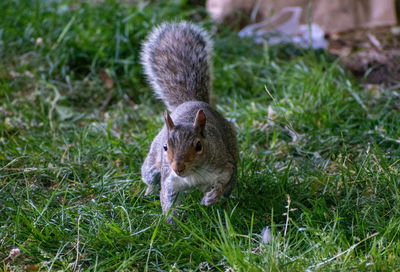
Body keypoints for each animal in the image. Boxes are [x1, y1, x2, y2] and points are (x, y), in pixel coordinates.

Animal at [140, 20, 238, 221]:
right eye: (165, 147)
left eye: (199, 146)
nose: (178, 168)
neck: (193, 174)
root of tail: (192, 102)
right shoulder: (170, 181)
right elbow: (167, 200)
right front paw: (171, 224)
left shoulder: (224, 168)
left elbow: (221, 185)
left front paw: (210, 198)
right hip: (152, 165)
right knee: (150, 177)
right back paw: (148, 191)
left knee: (229, 188)